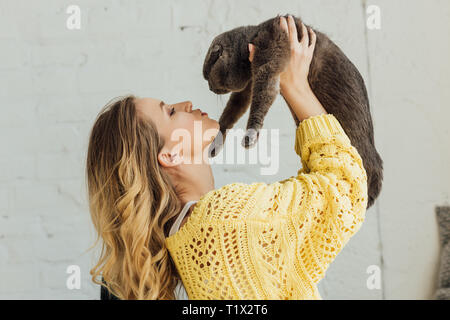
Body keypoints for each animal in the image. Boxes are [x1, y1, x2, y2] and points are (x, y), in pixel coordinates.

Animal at [204, 14, 384, 210]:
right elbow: (233, 109)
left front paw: (251, 134)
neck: (253, 37)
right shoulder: (248, 85)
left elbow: (262, 95)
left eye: (208, 78)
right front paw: (217, 139)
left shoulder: (269, 54)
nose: (210, 88)